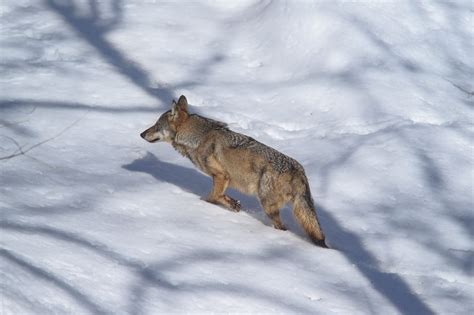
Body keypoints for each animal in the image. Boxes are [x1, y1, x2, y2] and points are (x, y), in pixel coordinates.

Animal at [139, 95, 328, 248]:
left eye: (156, 125)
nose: (141, 134)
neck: (198, 139)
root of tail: (298, 170)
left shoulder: (221, 176)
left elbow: (212, 197)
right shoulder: (222, 179)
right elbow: (221, 196)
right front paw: (233, 204)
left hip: (267, 205)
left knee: (282, 228)